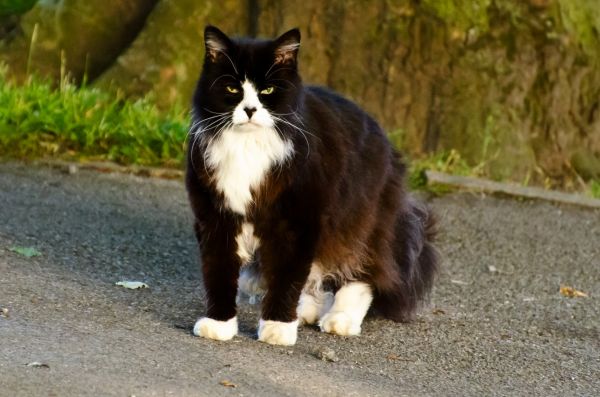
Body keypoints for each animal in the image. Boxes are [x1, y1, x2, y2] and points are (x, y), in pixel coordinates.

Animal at [185, 26, 438, 344]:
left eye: (268, 91)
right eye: (232, 89)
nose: (250, 109)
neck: (248, 146)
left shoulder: (297, 221)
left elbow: (287, 275)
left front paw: (278, 328)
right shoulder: (216, 218)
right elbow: (219, 273)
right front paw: (219, 325)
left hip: (361, 219)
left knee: (362, 271)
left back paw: (340, 319)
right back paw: (306, 310)